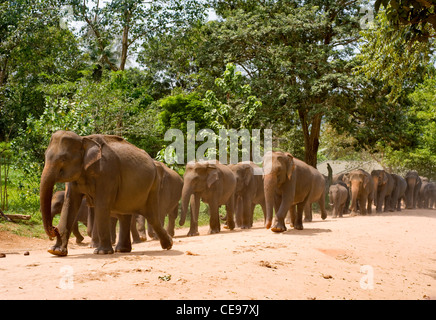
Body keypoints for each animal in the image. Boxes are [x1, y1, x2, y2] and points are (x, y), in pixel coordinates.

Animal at [39, 129, 172, 256]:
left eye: (64, 159)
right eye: (45, 156)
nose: (54, 229)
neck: (84, 140)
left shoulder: (107, 173)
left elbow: (101, 205)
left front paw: (102, 252)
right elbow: (70, 204)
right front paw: (55, 251)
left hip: (153, 186)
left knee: (151, 216)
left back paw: (168, 245)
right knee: (125, 216)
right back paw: (123, 250)